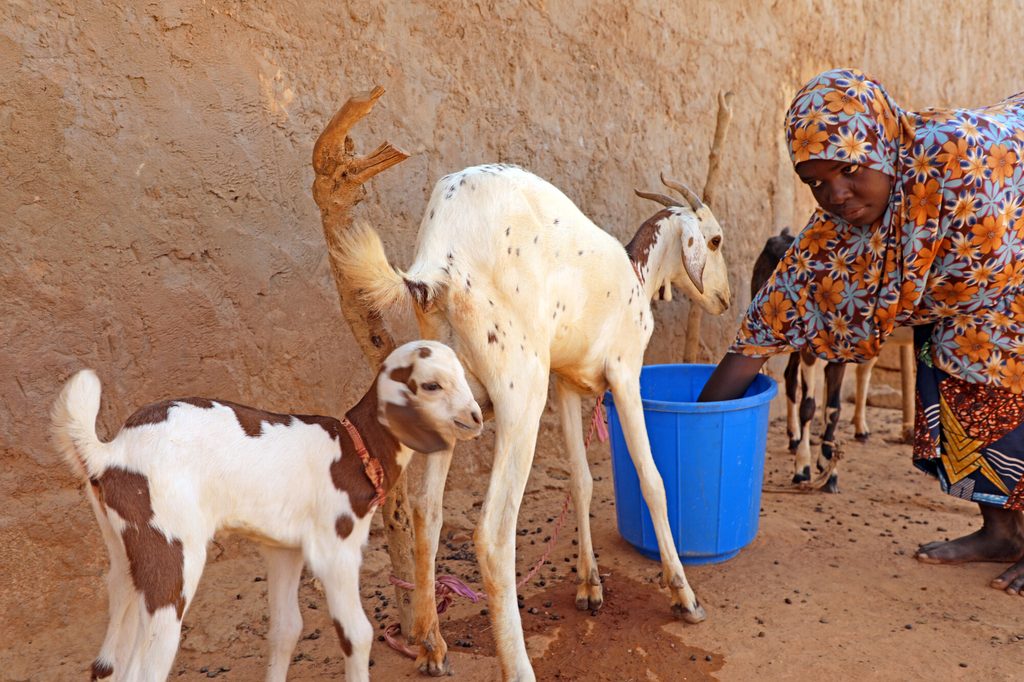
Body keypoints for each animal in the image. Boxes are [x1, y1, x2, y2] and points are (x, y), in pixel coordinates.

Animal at [333, 161, 729, 675]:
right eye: (715, 240)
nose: (724, 299)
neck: (637, 274)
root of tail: (439, 257)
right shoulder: (624, 373)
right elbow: (652, 480)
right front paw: (683, 594)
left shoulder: (566, 383)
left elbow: (581, 481)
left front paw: (589, 586)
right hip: (522, 392)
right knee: (493, 534)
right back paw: (517, 666)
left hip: (453, 399)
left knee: (426, 509)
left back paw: (432, 645)